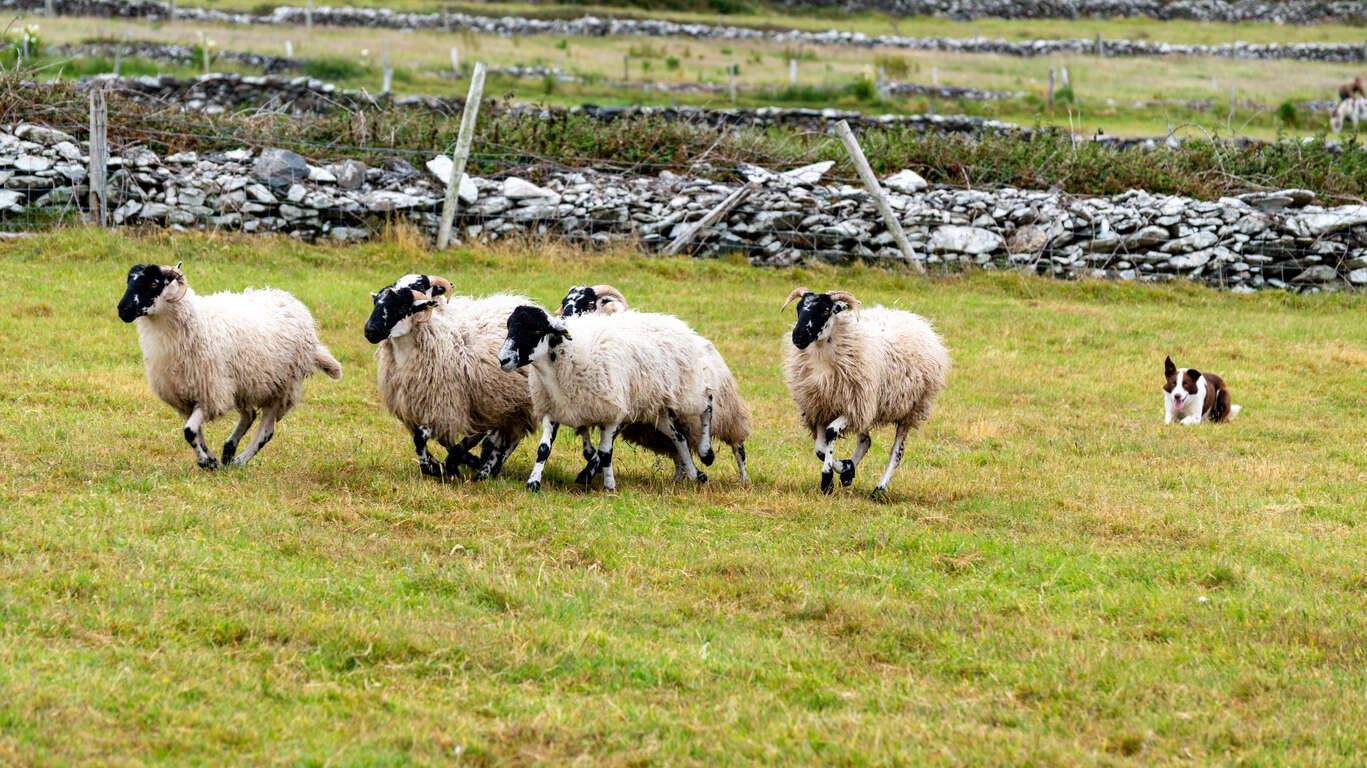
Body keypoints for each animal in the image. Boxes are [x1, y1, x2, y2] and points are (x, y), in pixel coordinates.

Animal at [117, 261, 341, 467]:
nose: (123, 309)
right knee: (249, 416)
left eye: (154, 283)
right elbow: (195, 432)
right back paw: (228, 451)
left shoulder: (212, 393)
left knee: (266, 431)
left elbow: (189, 431)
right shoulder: (187, 396)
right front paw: (211, 460)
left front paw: (205, 461)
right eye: (129, 281)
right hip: (244, 385)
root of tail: (291, 300)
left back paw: (240, 460)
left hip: (282, 386)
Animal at [363, 271, 533, 478]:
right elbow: (433, 441)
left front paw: (442, 466)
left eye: (402, 306)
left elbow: (422, 438)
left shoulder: (442, 406)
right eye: (375, 303)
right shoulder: (414, 411)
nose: (370, 331)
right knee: (499, 435)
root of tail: (520, 300)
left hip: (521, 404)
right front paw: (444, 465)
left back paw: (485, 471)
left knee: (510, 438)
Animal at [503, 304, 716, 489]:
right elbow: (543, 449)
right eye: (509, 326)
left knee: (708, 403)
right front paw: (533, 482)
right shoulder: (552, 409)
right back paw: (693, 473)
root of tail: (679, 324)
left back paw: (706, 453)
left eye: (536, 330)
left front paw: (609, 485)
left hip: (687, 390)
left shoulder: (612, 411)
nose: (503, 359)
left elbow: (605, 452)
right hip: (657, 404)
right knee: (679, 437)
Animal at [557, 281, 760, 483]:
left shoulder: (627, 407)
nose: (564, 325)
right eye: (564, 302)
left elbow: (603, 448)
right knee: (679, 443)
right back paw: (683, 476)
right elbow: (587, 436)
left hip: (721, 410)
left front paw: (587, 474)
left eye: (589, 304)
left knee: (732, 439)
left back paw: (736, 474)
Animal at [781, 286, 951, 497]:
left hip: (909, 409)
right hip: (869, 405)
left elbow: (830, 434)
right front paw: (845, 469)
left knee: (897, 452)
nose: (798, 337)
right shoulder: (819, 406)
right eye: (798, 308)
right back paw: (849, 472)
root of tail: (913, 318)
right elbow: (820, 449)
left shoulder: (852, 407)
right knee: (865, 441)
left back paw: (879, 489)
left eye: (825, 310)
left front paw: (827, 480)